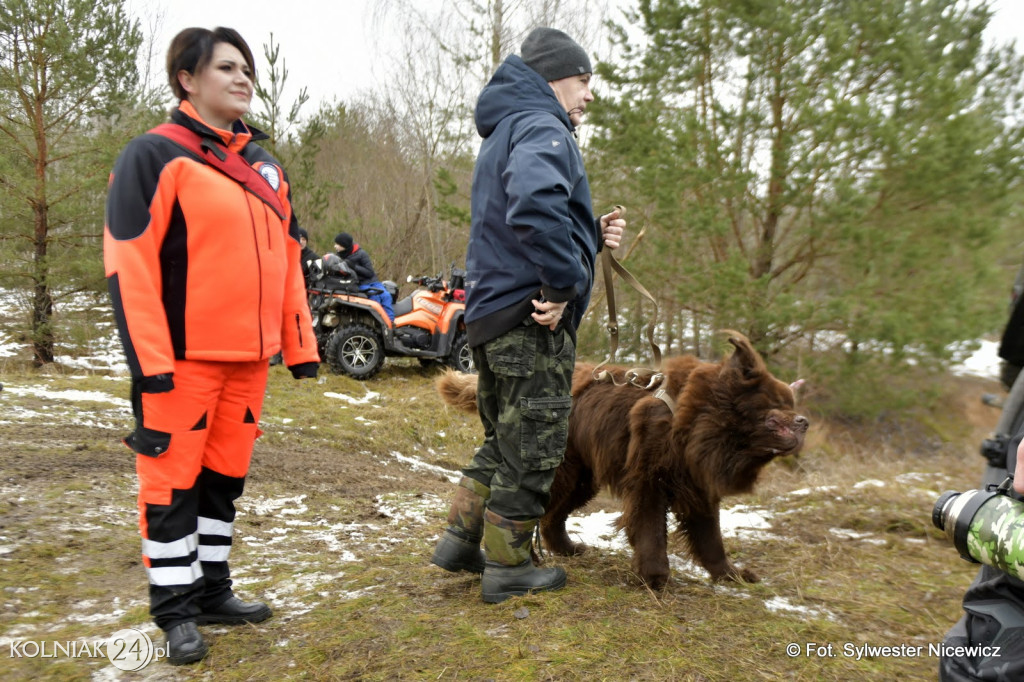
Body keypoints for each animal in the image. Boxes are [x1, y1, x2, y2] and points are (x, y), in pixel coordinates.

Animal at [436, 331, 811, 585]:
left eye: (792, 404)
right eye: (778, 405)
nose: (805, 422)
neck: (694, 422)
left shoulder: (698, 487)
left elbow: (711, 538)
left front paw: (730, 574)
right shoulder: (650, 481)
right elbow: (650, 530)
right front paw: (655, 577)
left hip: (582, 478)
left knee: (552, 516)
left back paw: (568, 549)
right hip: (560, 468)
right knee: (527, 509)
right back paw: (524, 562)